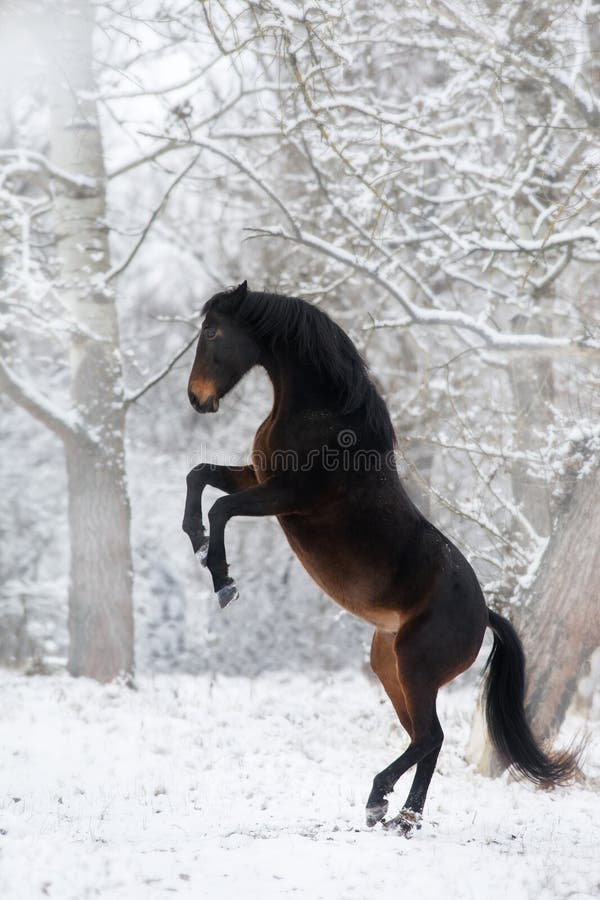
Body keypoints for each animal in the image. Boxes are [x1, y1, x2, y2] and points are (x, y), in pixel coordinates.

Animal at [182, 281, 577, 835]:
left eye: (214, 332)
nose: (196, 397)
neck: (322, 420)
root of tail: (485, 615)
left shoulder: (286, 495)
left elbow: (220, 507)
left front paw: (222, 581)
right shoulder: (258, 478)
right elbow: (200, 476)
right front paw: (195, 540)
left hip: (414, 668)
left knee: (431, 737)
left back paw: (379, 801)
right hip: (390, 668)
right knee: (425, 741)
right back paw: (403, 817)